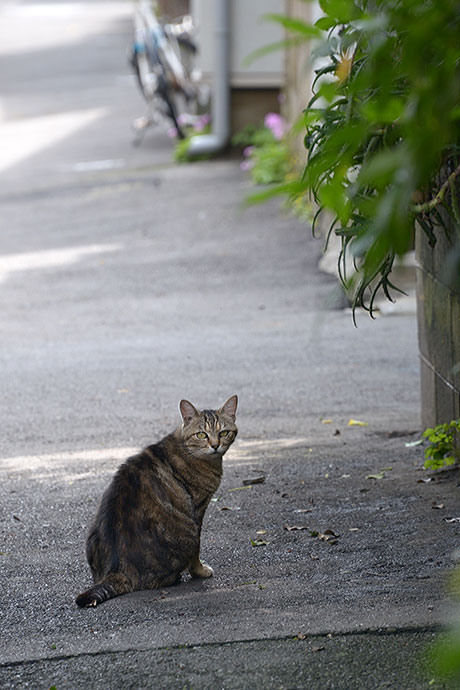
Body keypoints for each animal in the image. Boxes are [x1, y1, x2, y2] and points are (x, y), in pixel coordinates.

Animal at [75, 396, 237, 604]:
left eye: (224, 432)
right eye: (201, 435)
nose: (215, 445)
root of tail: (117, 570)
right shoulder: (197, 510)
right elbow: (196, 553)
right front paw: (199, 571)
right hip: (189, 532)